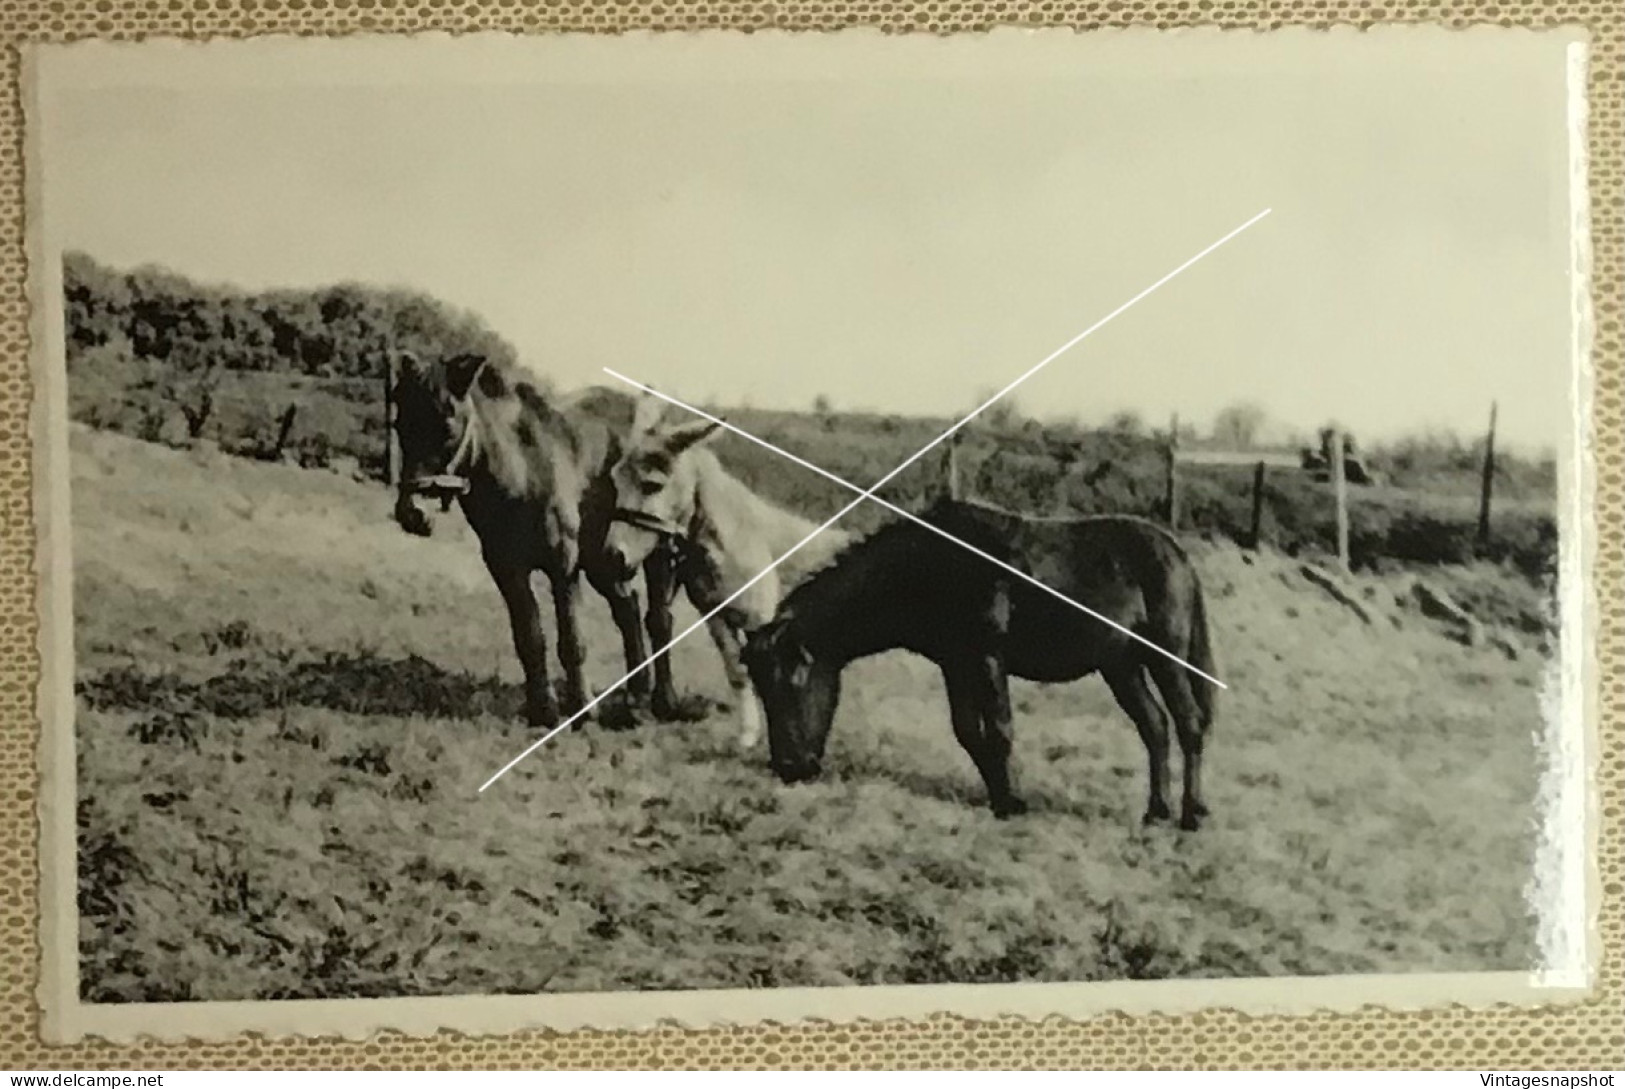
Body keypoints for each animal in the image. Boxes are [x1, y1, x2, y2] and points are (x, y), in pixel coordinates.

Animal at [396, 352, 695, 734]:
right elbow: (529, 636)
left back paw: (663, 701)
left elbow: (572, 640)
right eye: (399, 425)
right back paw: (634, 701)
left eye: (448, 428)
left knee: (658, 619)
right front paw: (544, 710)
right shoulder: (507, 569)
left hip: (654, 550)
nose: (413, 513)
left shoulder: (562, 566)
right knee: (627, 610)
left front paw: (582, 711)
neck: (523, 471)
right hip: (607, 560)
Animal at [604, 398, 858, 750]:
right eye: (615, 480)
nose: (613, 556)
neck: (735, 538)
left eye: (652, 485)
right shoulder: (716, 617)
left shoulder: (763, 620)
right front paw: (748, 737)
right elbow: (737, 671)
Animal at [744, 500, 1215, 832]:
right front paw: (998, 798)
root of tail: (1177, 554)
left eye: (792, 683)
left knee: (1188, 723)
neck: (930, 566)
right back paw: (1156, 812)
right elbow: (969, 732)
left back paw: (1190, 815)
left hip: (1164, 658)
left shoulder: (988, 659)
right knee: (1155, 726)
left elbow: (1001, 730)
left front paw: (1014, 802)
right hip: (1121, 666)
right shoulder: (956, 665)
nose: (789, 768)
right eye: (760, 688)